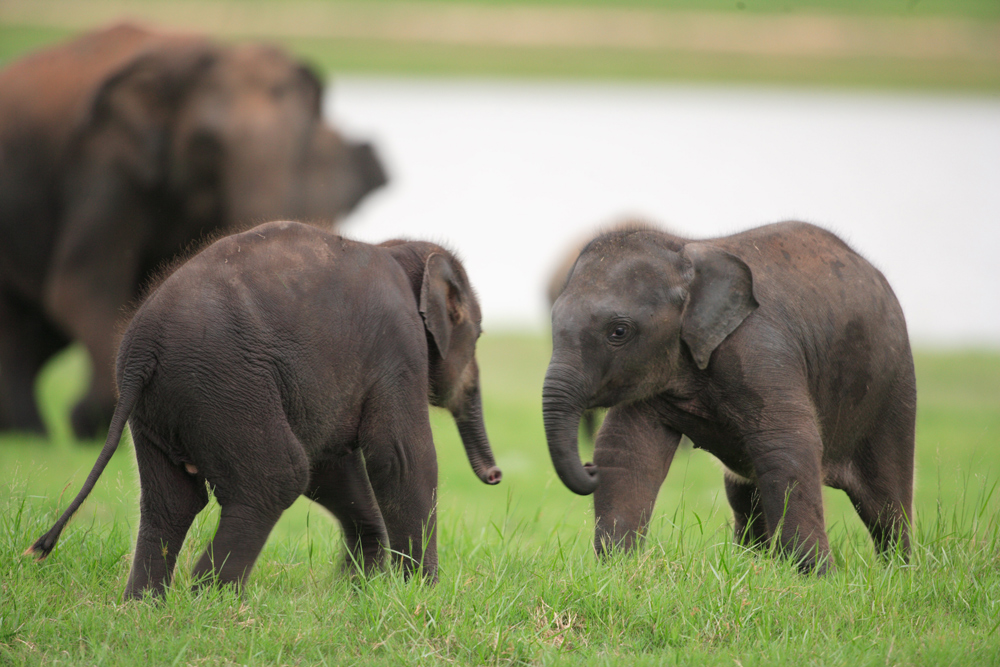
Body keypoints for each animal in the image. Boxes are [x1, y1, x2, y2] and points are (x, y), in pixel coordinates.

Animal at [0, 22, 386, 438]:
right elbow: (83, 286)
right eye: (207, 143)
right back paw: (30, 432)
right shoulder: (103, 166)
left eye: (302, 142)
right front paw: (89, 420)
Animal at [28, 220, 504, 600]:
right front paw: (420, 595)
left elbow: (331, 466)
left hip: (163, 407)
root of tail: (142, 350)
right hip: (225, 384)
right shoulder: (398, 348)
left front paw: (358, 591)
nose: (497, 476)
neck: (400, 250)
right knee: (277, 475)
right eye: (479, 333)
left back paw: (147, 607)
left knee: (172, 502)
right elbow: (401, 460)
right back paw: (211, 602)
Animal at [544, 220, 916, 576]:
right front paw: (616, 569)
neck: (682, 249)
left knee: (885, 496)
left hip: (892, 384)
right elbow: (627, 448)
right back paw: (751, 562)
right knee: (744, 495)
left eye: (618, 332)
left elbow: (788, 446)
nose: (589, 468)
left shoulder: (759, 348)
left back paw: (899, 572)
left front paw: (817, 578)